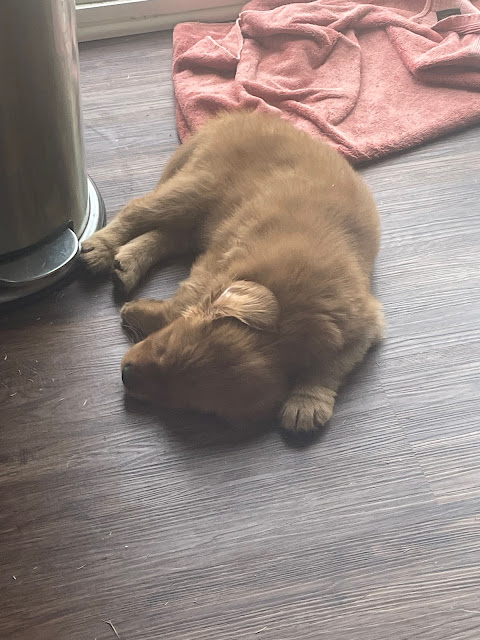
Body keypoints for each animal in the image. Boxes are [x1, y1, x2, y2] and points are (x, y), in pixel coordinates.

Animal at [82, 110, 382, 432]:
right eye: (164, 345)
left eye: (187, 405)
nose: (125, 375)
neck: (288, 310)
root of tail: (234, 116)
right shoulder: (216, 260)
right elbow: (185, 299)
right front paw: (138, 311)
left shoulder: (365, 325)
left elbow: (333, 363)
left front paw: (306, 402)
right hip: (195, 187)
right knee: (136, 211)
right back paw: (100, 248)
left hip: (201, 211)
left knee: (168, 234)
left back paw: (127, 263)